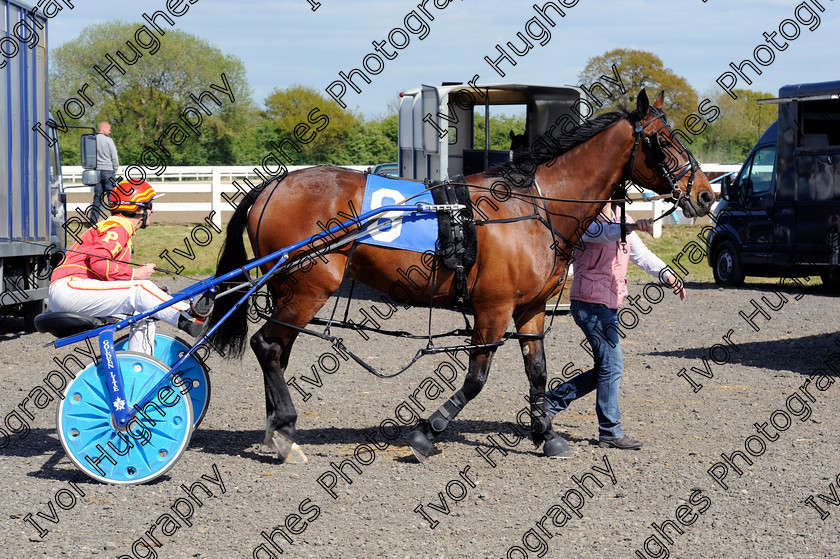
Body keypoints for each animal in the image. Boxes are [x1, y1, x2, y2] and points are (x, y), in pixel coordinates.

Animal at [205, 88, 716, 464]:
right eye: (664, 140)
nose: (706, 195)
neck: (533, 206)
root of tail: (274, 184)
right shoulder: (493, 308)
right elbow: (476, 378)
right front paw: (427, 432)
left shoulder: (529, 309)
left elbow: (537, 371)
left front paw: (546, 434)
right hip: (308, 287)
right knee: (269, 346)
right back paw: (285, 432)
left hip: (289, 289)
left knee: (276, 349)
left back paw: (278, 430)